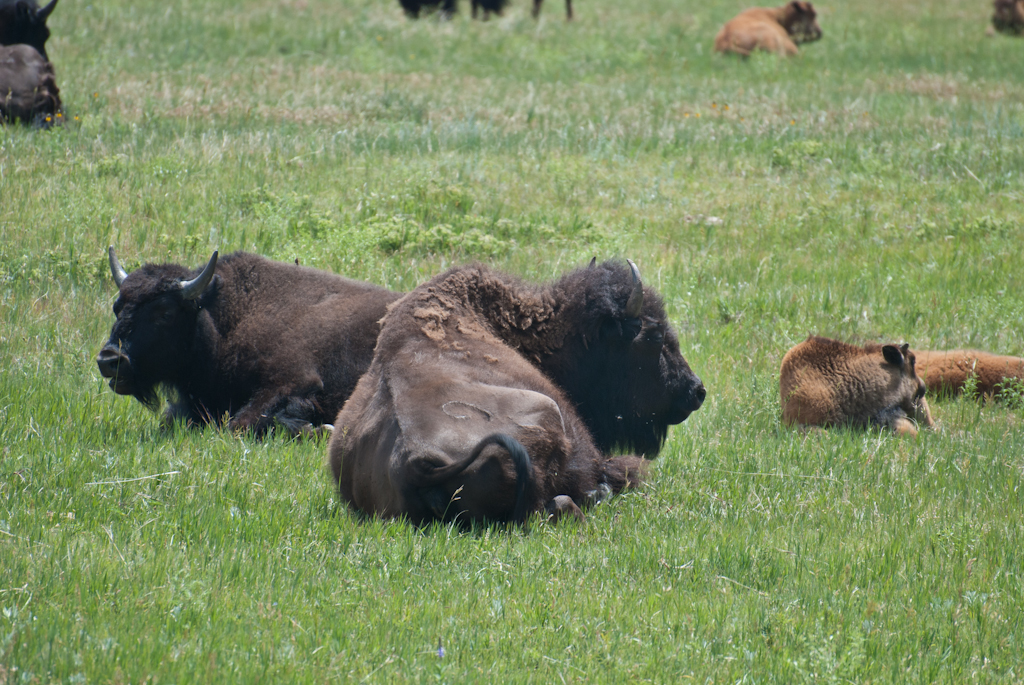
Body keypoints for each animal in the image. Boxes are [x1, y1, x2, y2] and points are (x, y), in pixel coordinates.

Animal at [96, 248, 399, 436]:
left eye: (166, 313)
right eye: (116, 307)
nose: (110, 359)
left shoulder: (294, 380)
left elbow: (240, 424)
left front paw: (322, 429)